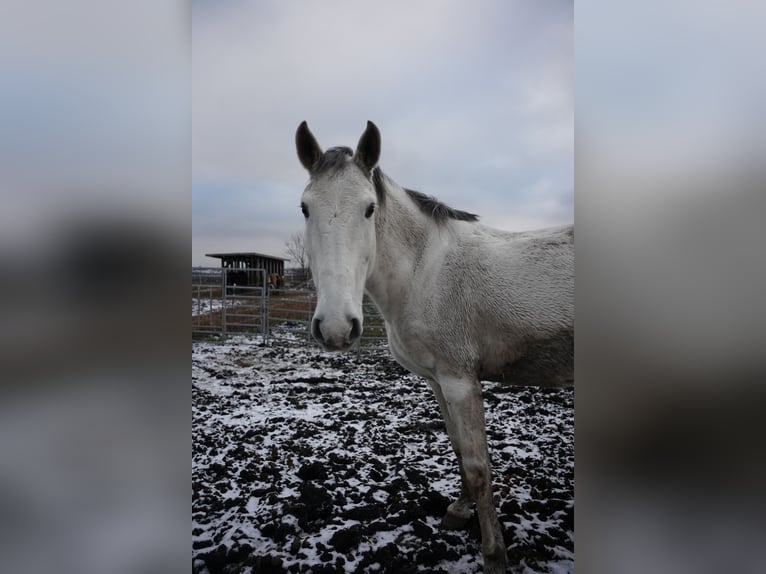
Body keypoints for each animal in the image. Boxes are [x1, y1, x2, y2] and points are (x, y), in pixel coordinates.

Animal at [296, 120, 572, 572]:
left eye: (369, 209)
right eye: (305, 208)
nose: (336, 328)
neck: (425, 271)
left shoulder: (461, 381)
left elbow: (478, 466)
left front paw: (494, 554)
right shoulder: (438, 381)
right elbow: (458, 449)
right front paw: (458, 511)